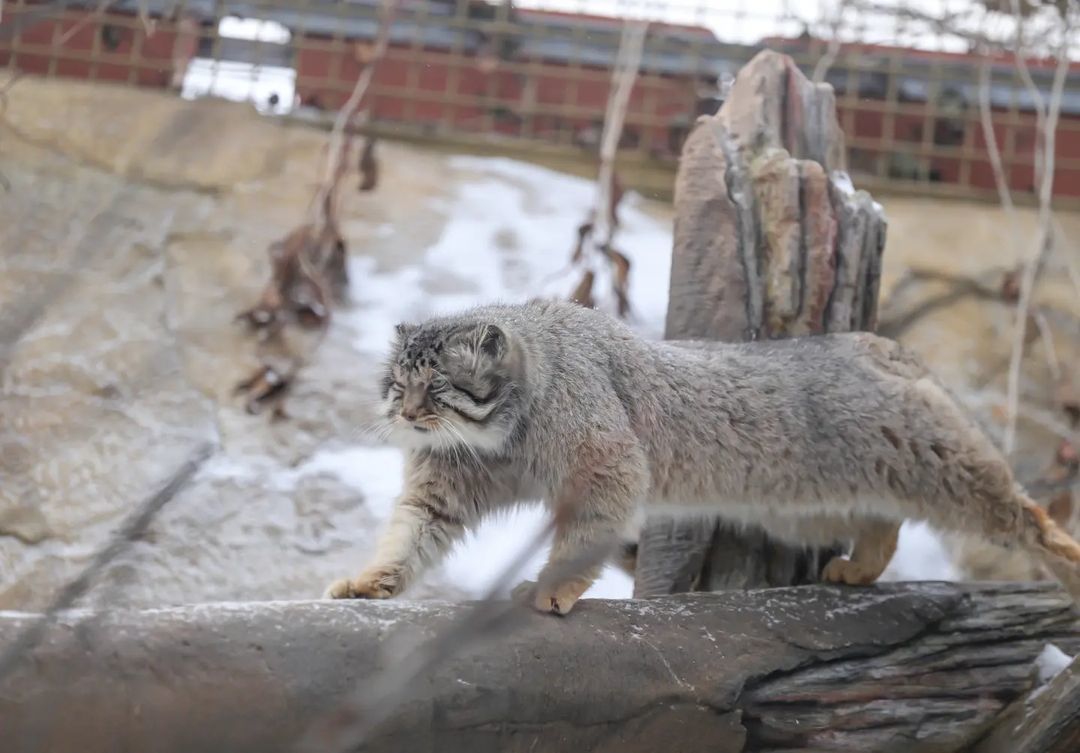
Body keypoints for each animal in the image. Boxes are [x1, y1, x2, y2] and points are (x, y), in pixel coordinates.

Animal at [326, 296, 1080, 613]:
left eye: (437, 386)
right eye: (396, 382)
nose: (404, 413)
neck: (505, 438)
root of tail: (882, 344)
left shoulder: (610, 463)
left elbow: (581, 540)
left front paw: (550, 588)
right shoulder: (448, 486)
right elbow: (409, 536)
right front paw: (372, 581)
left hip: (942, 467)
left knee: (1027, 517)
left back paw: (1068, 566)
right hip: (797, 504)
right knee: (881, 521)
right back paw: (863, 564)